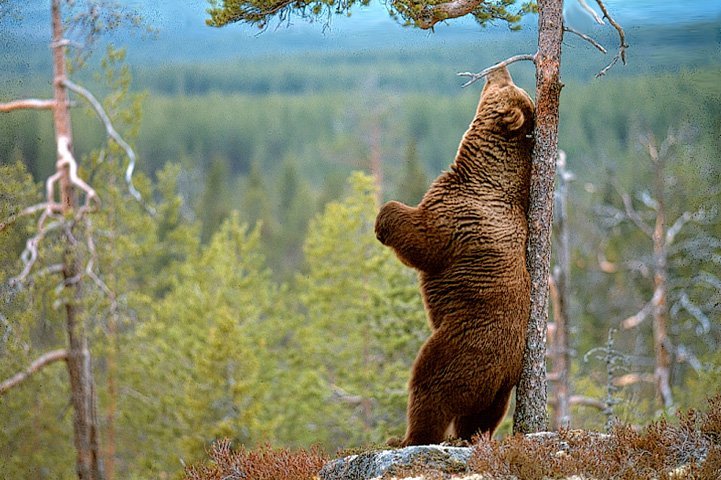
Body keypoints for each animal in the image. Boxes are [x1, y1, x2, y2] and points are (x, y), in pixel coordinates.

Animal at [374, 64, 532, 446]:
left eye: (507, 86)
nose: (500, 66)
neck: (482, 172)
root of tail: (502, 371)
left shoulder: (458, 217)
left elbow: (422, 242)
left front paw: (383, 218)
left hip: (460, 348)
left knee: (430, 386)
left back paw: (407, 438)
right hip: (499, 389)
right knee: (482, 415)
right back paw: (471, 437)